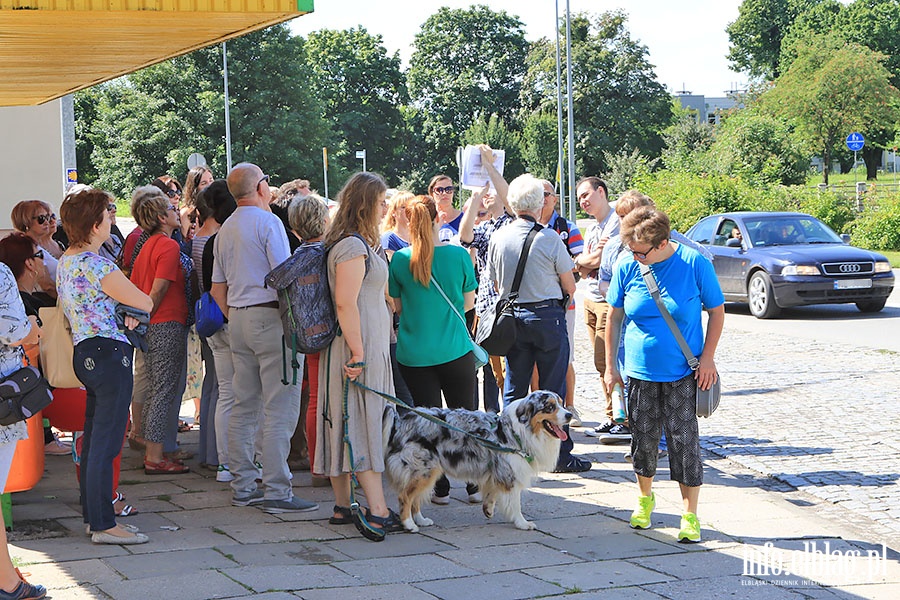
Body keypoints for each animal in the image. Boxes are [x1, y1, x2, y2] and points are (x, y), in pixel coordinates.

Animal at [380, 392, 568, 532]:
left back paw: (420, 520)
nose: (570, 414)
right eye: (549, 407)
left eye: (561, 403)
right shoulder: (510, 474)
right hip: (424, 470)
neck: (516, 431)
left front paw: (488, 509)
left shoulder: (497, 473)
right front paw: (522, 523)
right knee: (405, 496)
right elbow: (515, 504)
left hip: (427, 471)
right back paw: (409, 524)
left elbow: (492, 493)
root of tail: (400, 421)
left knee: (415, 497)